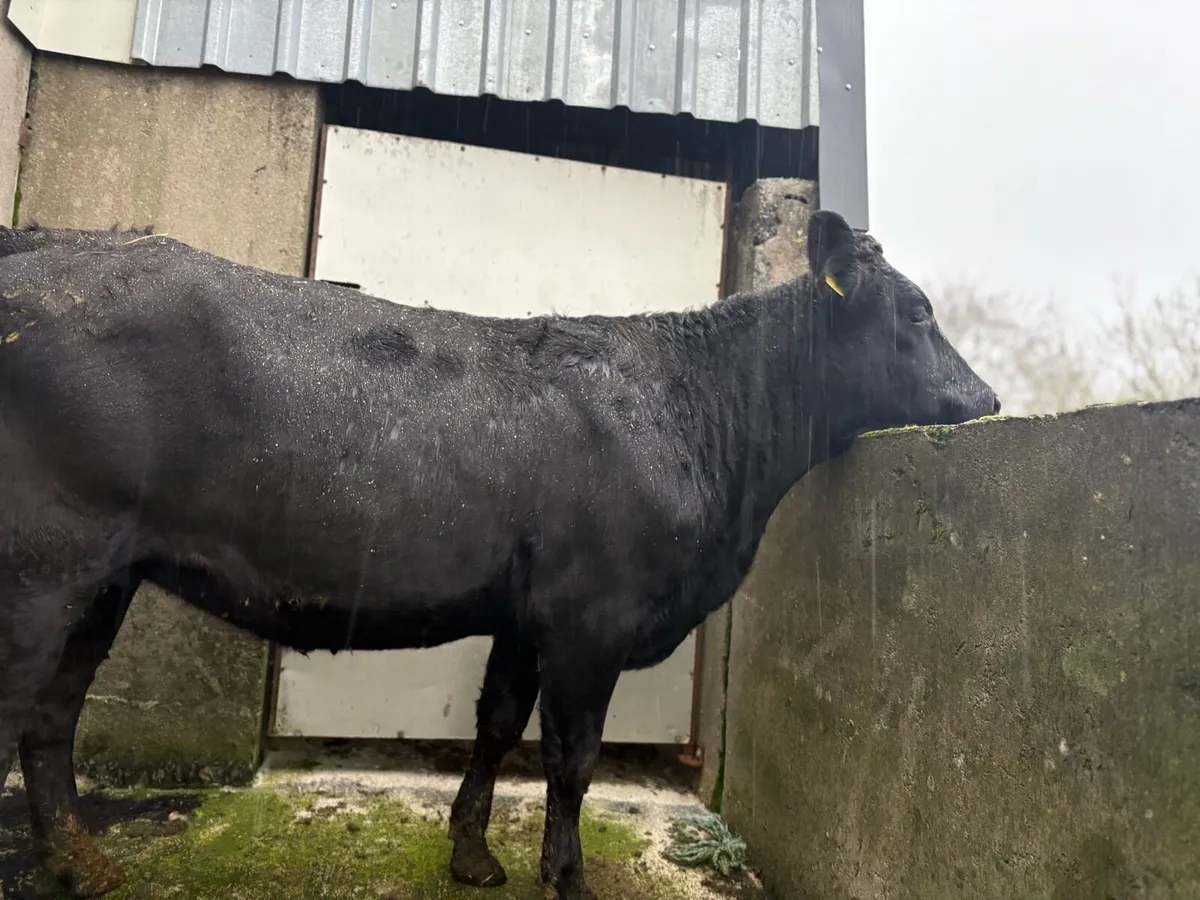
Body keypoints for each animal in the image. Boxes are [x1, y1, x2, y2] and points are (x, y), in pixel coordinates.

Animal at [0, 209, 1000, 899]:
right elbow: (570, 756)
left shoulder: (525, 615)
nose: (988, 398)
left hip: (102, 579)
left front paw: (474, 854)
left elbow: (497, 724)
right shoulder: (593, 616)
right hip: (43, 565)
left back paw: (84, 865)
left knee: (50, 719)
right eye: (918, 311)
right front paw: (568, 878)